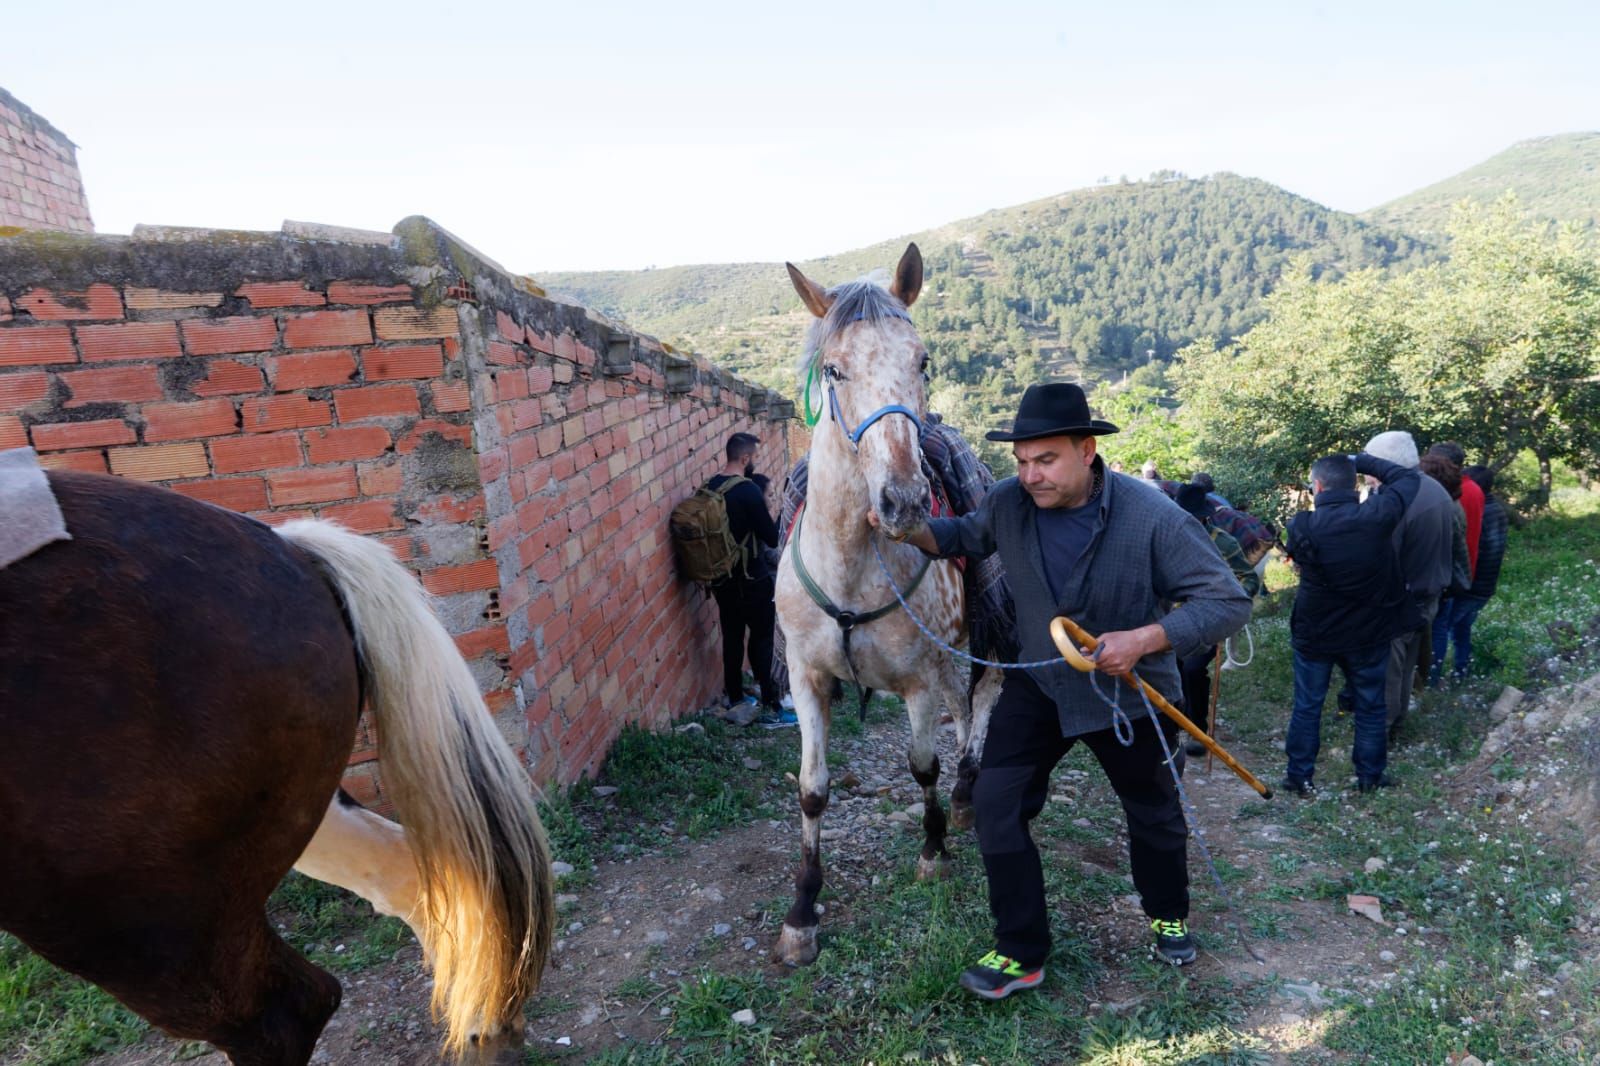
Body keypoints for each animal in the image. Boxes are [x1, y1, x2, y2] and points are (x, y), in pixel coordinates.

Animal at [771, 246, 998, 960]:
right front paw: (802, 913)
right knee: (965, 709)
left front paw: (933, 851)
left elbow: (922, 764)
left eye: (922, 361)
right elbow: (813, 790)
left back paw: (965, 793)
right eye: (834, 369)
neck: (852, 563)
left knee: (980, 702)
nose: (903, 502)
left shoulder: (917, 681)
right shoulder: (807, 679)